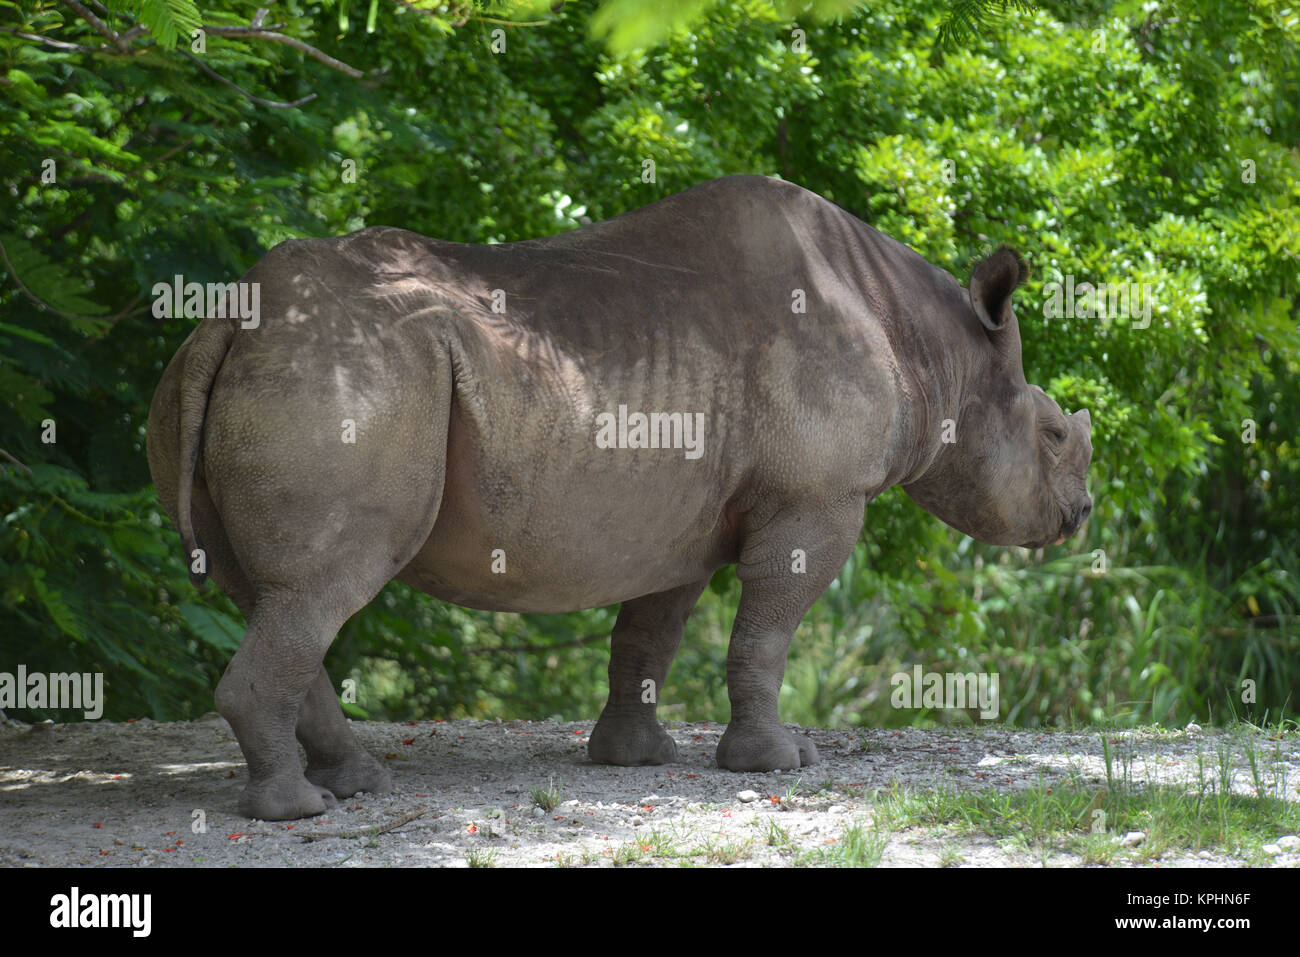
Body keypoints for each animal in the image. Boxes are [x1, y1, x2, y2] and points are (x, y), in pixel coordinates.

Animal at [148, 174, 1092, 820]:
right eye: (1053, 434)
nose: (1080, 515)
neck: (940, 352)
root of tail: (231, 318)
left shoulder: (678, 518)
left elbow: (649, 635)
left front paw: (633, 760)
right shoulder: (818, 495)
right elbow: (767, 631)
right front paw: (779, 762)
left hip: (243, 379)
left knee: (270, 596)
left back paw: (356, 783)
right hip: (348, 380)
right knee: (320, 589)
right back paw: (298, 809)